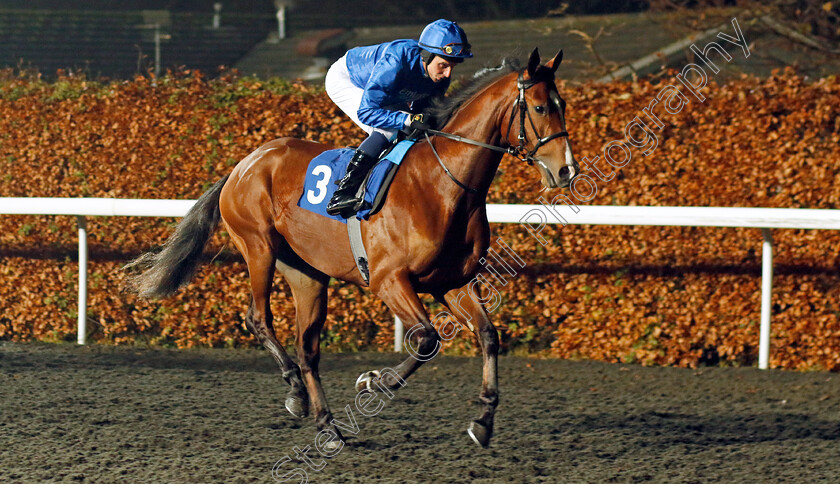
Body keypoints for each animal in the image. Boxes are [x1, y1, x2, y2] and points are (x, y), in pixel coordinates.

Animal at [126, 47, 576, 448]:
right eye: (539, 108)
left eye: (563, 105)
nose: (565, 170)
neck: (442, 185)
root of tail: (244, 164)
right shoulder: (389, 280)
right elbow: (427, 340)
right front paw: (375, 381)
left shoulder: (455, 283)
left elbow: (488, 336)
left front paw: (483, 420)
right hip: (258, 247)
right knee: (258, 318)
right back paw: (295, 390)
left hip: (306, 274)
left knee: (307, 347)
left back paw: (325, 423)